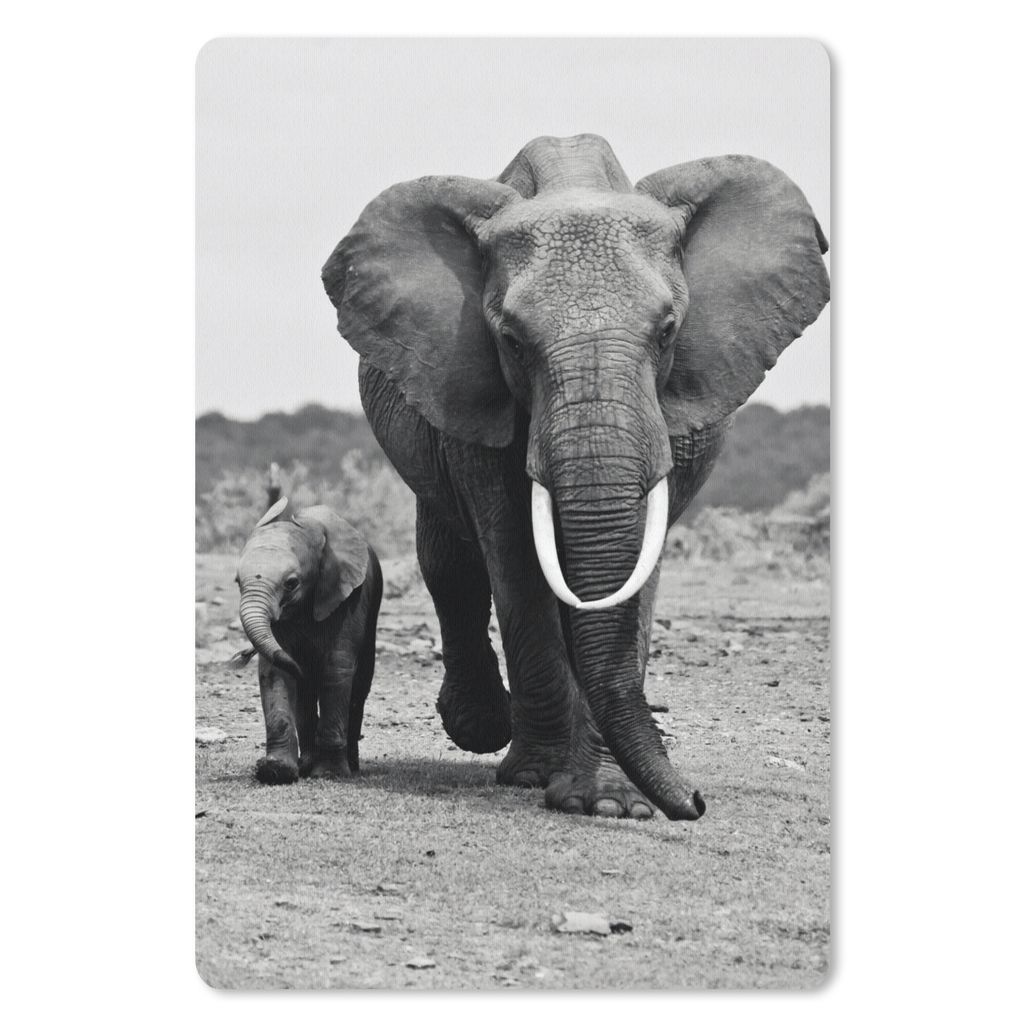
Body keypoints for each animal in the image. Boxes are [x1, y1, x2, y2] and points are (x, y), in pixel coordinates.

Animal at [235, 497, 383, 784]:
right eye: (237, 582)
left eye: (291, 583)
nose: (242, 656)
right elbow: (275, 670)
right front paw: (275, 771)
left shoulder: (349, 597)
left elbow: (336, 667)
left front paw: (330, 774)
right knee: (305, 695)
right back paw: (305, 765)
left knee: (359, 685)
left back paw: (351, 766)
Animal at [321, 133, 829, 820]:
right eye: (511, 340)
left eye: (668, 331)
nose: (695, 802)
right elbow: (514, 554)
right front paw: (539, 779)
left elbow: (631, 567)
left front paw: (610, 803)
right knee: (448, 560)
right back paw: (484, 729)